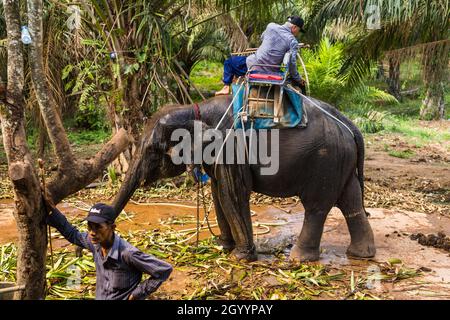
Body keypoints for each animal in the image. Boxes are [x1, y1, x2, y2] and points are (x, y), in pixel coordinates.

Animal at [112, 95, 376, 262]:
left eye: (153, 148)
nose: (109, 227)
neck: (194, 108)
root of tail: (349, 124)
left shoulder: (231, 147)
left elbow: (233, 194)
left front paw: (240, 257)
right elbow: (218, 193)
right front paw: (223, 247)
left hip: (325, 161)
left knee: (317, 207)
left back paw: (299, 259)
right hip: (340, 161)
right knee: (350, 201)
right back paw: (361, 255)